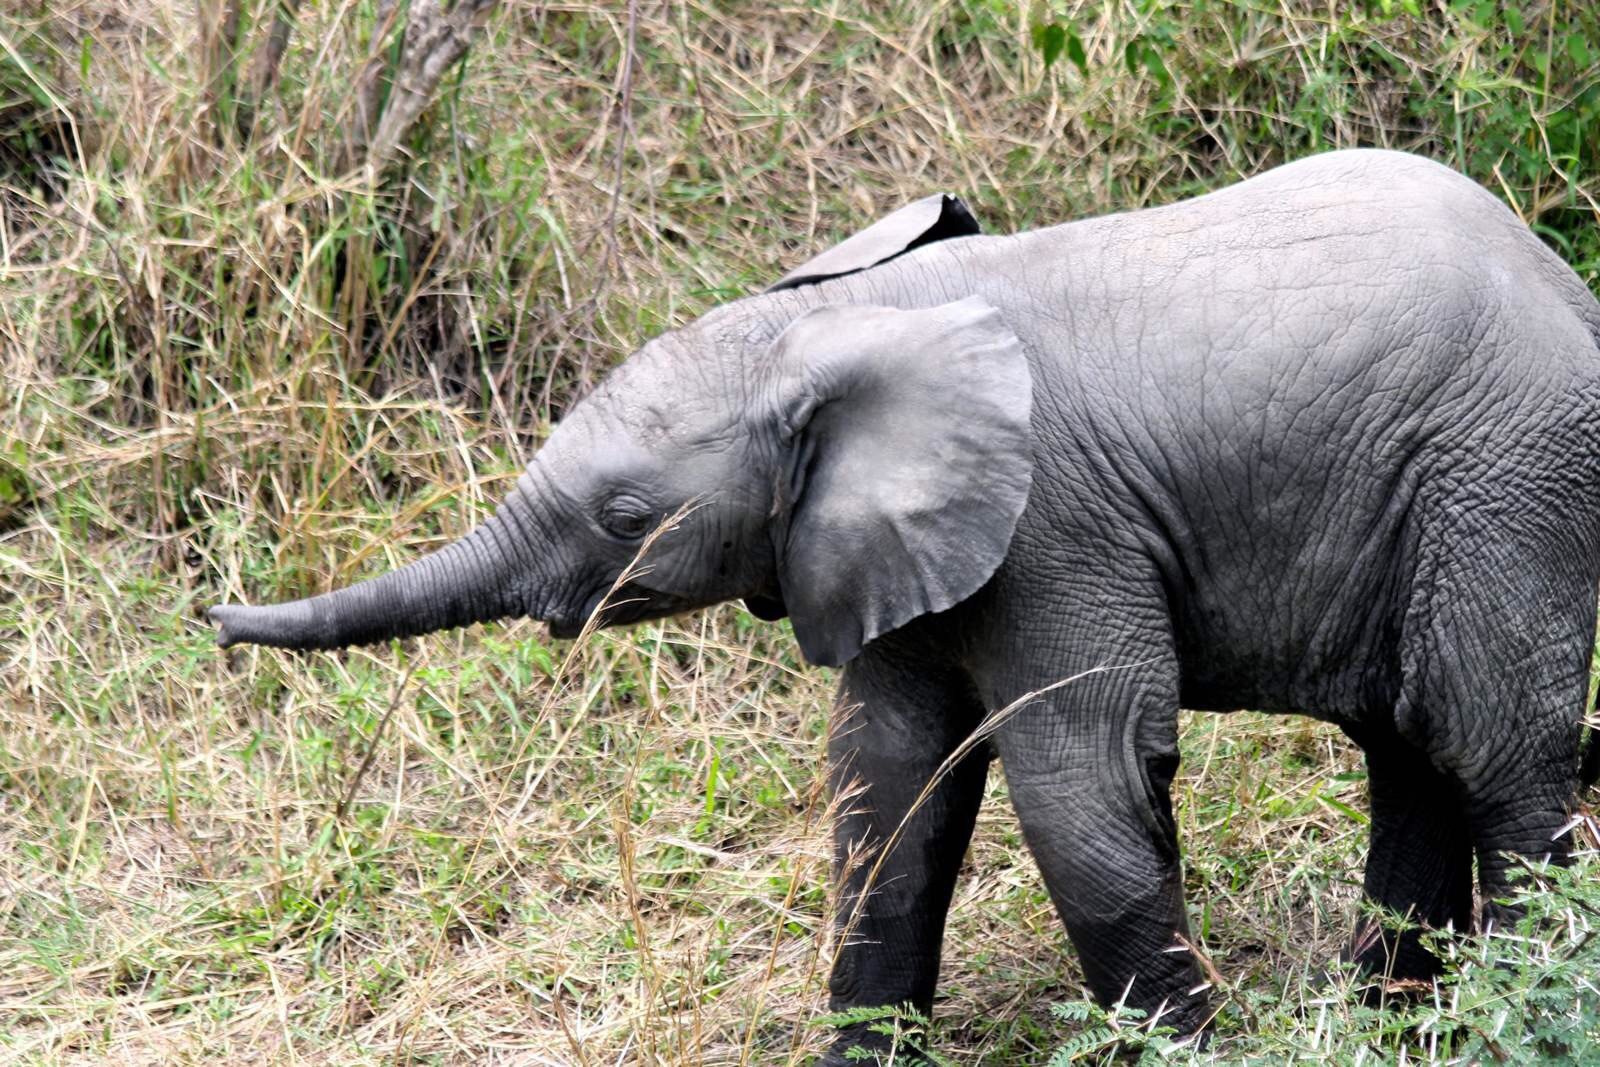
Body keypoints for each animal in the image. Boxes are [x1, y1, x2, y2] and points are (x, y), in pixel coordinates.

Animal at [212, 146, 1600, 1055]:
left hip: (1504, 478)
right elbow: (884, 786)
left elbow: (1081, 782)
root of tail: (1564, 284)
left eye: (623, 520)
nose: (215, 622)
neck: (837, 323)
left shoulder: (1055, 528)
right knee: (1410, 744)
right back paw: (1395, 1021)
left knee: (1491, 747)